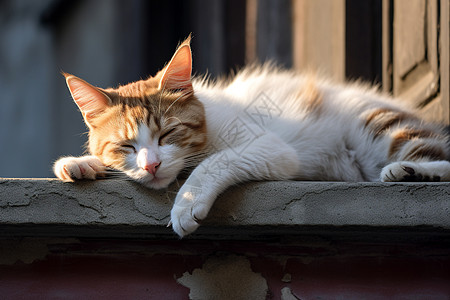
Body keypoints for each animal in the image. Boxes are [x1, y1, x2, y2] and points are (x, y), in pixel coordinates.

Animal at [53, 37, 450, 237]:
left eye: (168, 133)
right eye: (126, 146)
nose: (151, 166)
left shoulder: (270, 147)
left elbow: (216, 162)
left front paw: (186, 202)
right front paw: (80, 164)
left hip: (379, 125)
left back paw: (407, 170)